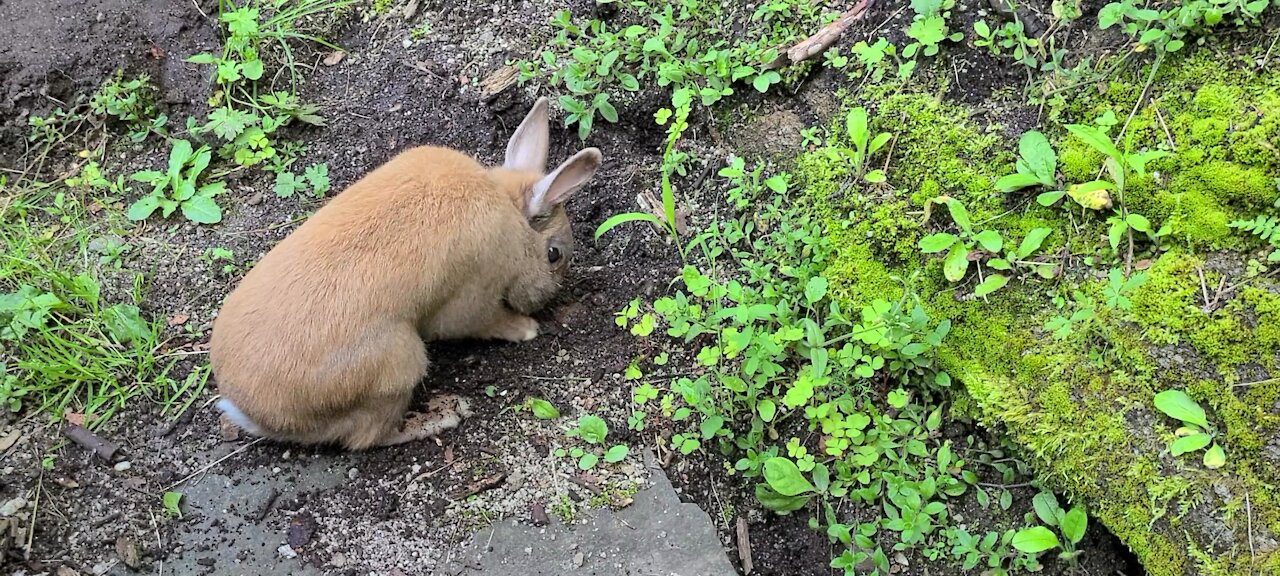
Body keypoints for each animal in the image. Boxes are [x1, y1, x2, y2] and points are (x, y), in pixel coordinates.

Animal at [211, 97, 604, 450]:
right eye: (554, 255)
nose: (545, 298)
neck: (509, 210)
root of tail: (261, 415)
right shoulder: (475, 291)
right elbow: (480, 322)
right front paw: (525, 329)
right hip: (399, 363)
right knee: (368, 438)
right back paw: (441, 415)